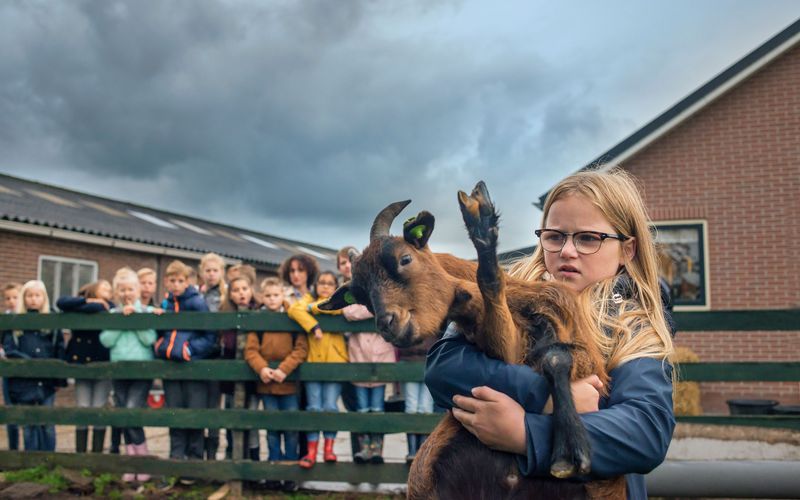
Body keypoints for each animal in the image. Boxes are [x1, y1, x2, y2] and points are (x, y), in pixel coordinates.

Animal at [318, 183, 624, 500]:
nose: (388, 324)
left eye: (405, 259)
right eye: (360, 296)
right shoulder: (506, 348)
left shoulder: (583, 352)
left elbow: (555, 356)